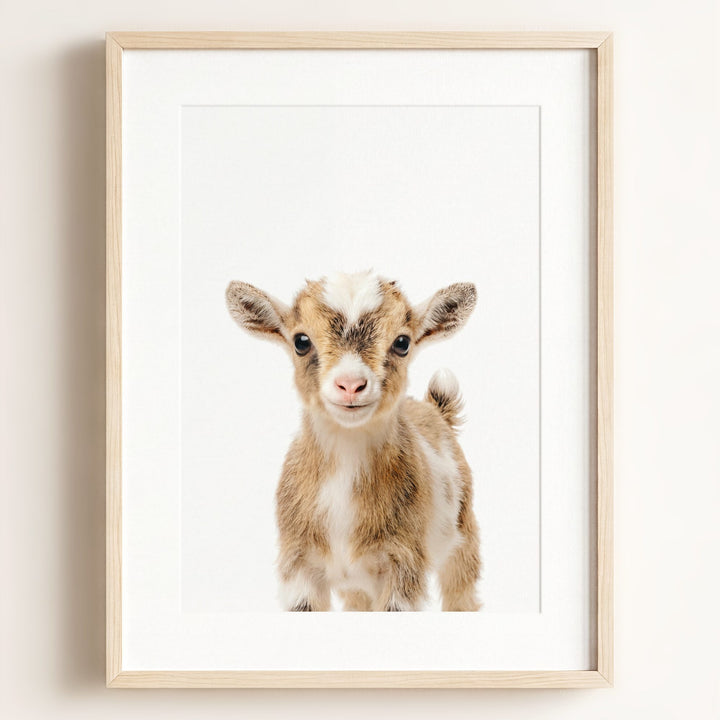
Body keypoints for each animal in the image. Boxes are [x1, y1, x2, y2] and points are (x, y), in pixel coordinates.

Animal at [226, 271, 480, 611]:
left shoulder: (403, 564)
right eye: (301, 341)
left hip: (464, 538)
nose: (350, 385)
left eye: (402, 343)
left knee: (462, 593)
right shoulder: (298, 565)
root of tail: (435, 409)